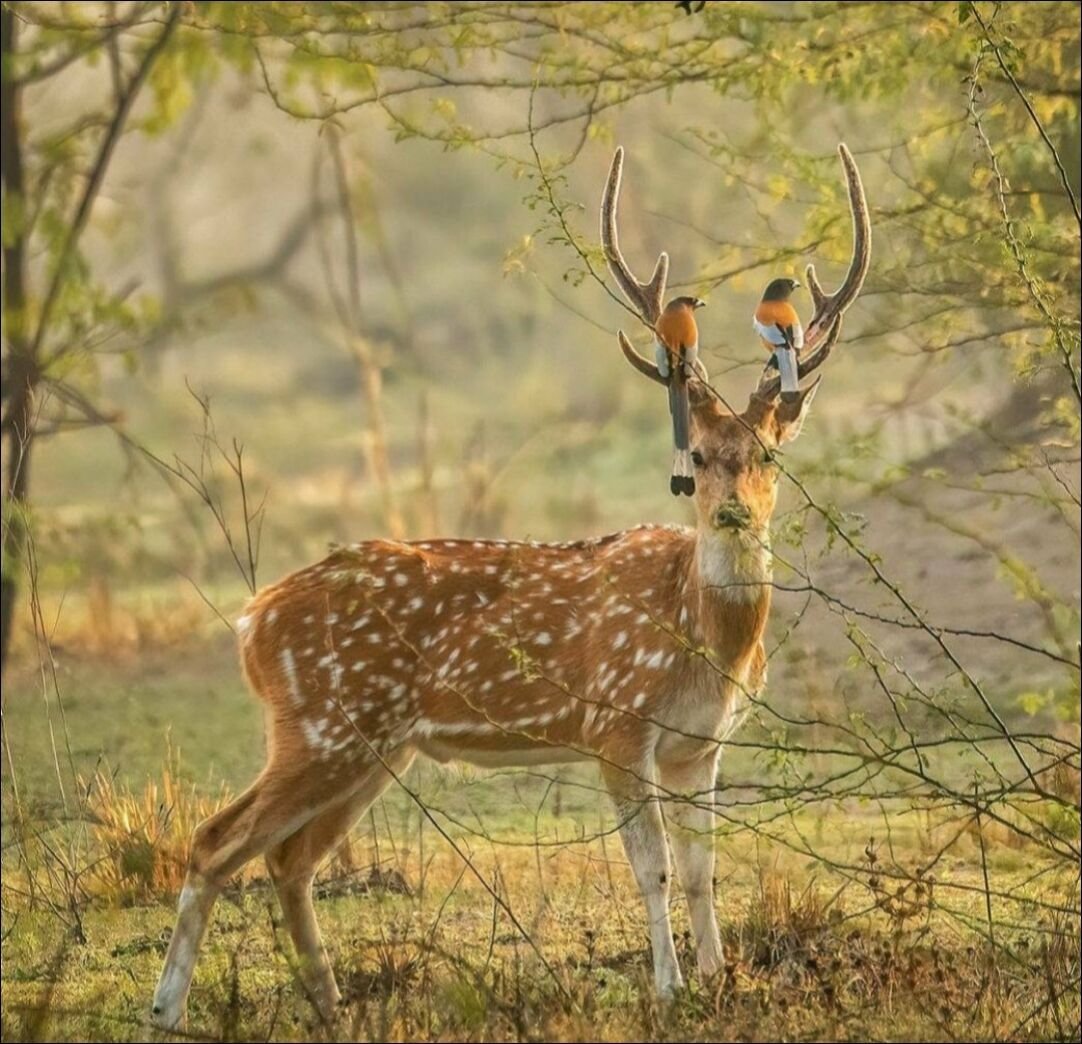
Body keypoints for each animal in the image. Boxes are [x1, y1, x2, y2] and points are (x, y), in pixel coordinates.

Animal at [151, 144, 869, 1028]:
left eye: (769, 455)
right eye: (698, 456)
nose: (731, 511)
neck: (704, 640)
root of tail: (252, 623)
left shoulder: (701, 742)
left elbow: (704, 867)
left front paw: (718, 979)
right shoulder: (615, 723)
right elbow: (655, 868)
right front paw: (670, 989)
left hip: (371, 744)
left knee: (289, 858)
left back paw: (331, 1005)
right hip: (322, 723)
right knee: (217, 840)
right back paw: (167, 1011)